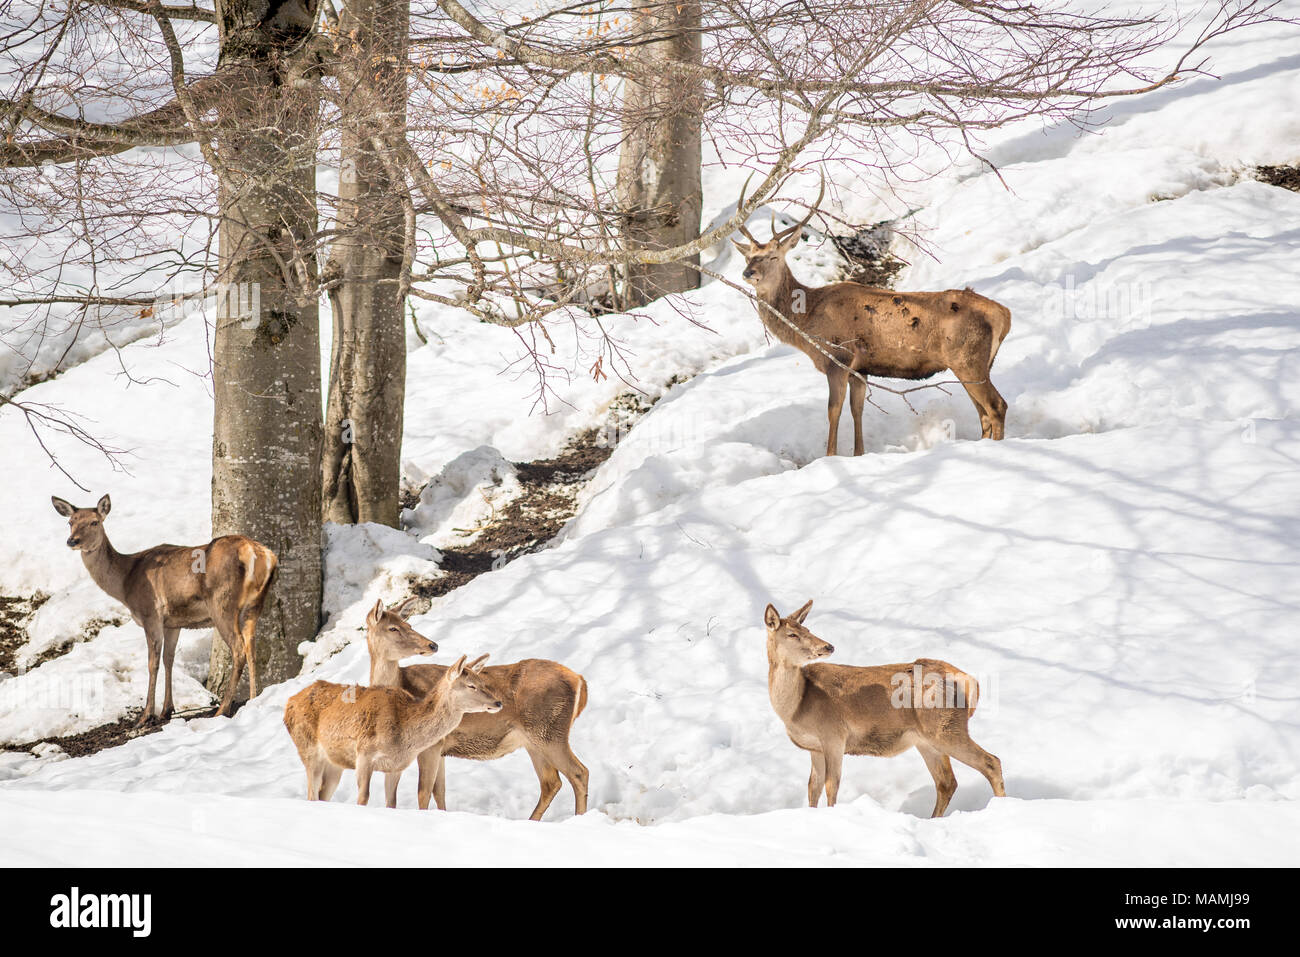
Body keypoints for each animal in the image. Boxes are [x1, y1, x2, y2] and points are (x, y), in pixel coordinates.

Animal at [51, 494, 276, 722]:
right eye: (70, 522)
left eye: (94, 522)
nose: (73, 541)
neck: (125, 582)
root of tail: (259, 554)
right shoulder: (172, 623)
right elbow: (169, 659)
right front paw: (167, 710)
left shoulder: (150, 613)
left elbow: (152, 663)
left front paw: (146, 715)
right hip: (254, 605)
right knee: (252, 649)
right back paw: (253, 700)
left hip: (222, 603)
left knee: (238, 649)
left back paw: (222, 709)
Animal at [282, 650, 499, 806]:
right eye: (471, 685)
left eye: (483, 682)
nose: (498, 702)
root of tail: (289, 702)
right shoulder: (364, 754)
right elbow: (363, 798)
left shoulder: (396, 766)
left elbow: (392, 802)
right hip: (308, 749)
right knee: (311, 794)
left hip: (335, 763)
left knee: (322, 795)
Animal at [366, 598, 590, 821]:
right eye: (393, 628)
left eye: (409, 625)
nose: (432, 644)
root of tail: (579, 679)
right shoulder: (440, 749)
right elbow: (439, 792)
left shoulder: (433, 744)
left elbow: (423, 792)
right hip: (533, 740)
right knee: (551, 781)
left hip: (548, 730)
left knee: (579, 772)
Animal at [738, 180, 1008, 455]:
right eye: (748, 257)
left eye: (773, 257)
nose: (748, 273)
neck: (808, 319)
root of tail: (1003, 314)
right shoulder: (861, 369)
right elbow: (857, 410)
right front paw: (859, 453)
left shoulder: (839, 358)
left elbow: (833, 411)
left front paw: (830, 456)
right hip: (976, 363)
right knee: (983, 413)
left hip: (967, 359)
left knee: (997, 406)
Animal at [759, 598, 1003, 816]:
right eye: (793, 633)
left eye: (807, 629)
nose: (828, 646)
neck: (796, 708)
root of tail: (969, 680)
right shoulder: (814, 747)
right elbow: (813, 788)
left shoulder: (834, 735)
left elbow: (831, 785)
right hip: (927, 740)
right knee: (946, 782)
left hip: (944, 727)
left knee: (991, 761)